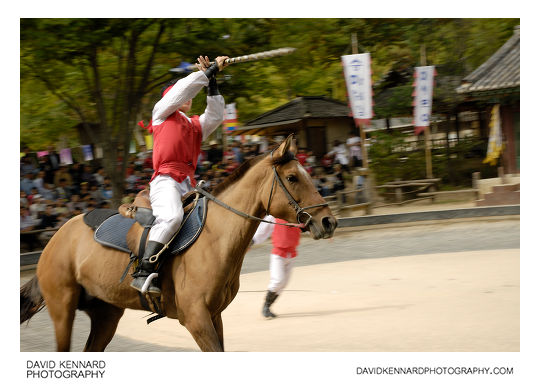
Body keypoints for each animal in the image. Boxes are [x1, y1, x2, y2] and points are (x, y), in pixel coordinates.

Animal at [21, 135, 338, 352]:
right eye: (292, 177)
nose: (328, 222)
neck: (214, 238)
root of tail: (56, 238)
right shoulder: (196, 319)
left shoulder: (214, 316)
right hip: (62, 310)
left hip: (106, 314)